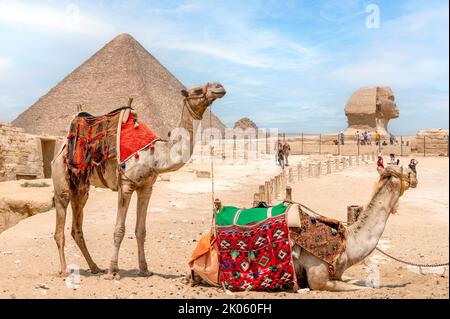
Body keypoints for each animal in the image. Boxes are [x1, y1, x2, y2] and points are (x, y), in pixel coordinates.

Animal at [51, 83, 225, 280]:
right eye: (197, 90)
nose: (219, 87)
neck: (155, 156)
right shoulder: (126, 185)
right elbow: (119, 230)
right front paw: (112, 272)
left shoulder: (146, 187)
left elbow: (141, 230)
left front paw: (144, 269)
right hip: (62, 181)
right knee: (60, 224)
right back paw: (65, 270)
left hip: (80, 188)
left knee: (76, 227)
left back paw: (95, 267)